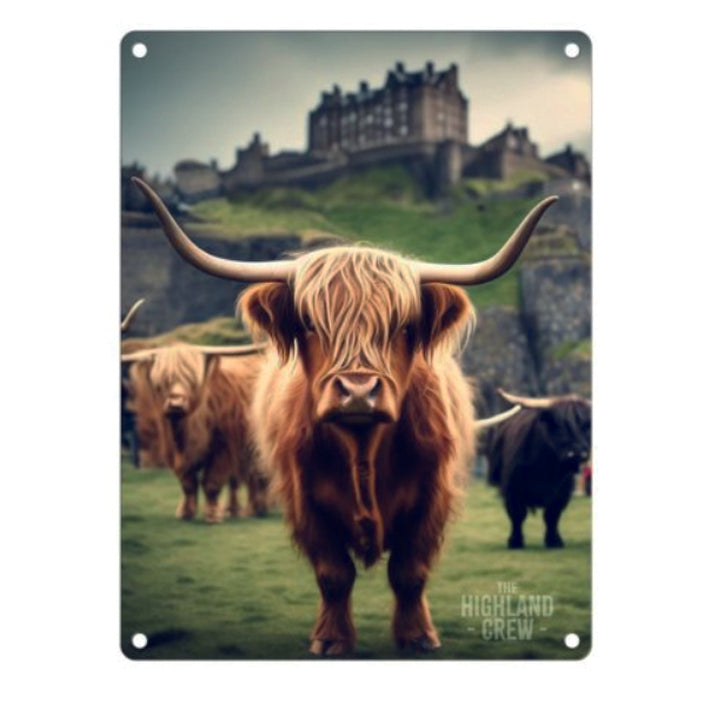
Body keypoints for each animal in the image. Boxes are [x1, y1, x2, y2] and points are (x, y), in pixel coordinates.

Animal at [122, 342, 269, 523]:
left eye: (191, 380)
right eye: (163, 381)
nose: (176, 404)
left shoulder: (223, 448)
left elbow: (212, 482)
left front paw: (212, 515)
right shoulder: (176, 451)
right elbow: (188, 484)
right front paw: (186, 513)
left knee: (257, 477)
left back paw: (256, 509)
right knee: (239, 480)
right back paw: (235, 510)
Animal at [487, 389, 591, 549]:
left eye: (587, 426)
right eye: (559, 425)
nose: (578, 453)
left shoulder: (563, 492)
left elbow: (552, 516)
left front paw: (554, 541)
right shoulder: (512, 489)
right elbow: (517, 515)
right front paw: (515, 541)